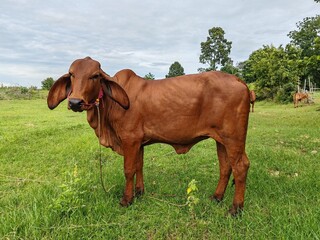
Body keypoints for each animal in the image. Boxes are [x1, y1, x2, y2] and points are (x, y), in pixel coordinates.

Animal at [47, 56, 251, 216]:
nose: (75, 102)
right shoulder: (139, 143)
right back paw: (217, 197)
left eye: (95, 76)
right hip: (221, 140)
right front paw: (139, 192)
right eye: (71, 74)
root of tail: (239, 80)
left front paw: (127, 199)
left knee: (240, 167)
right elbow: (139, 166)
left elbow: (129, 170)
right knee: (225, 167)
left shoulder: (130, 140)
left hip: (233, 139)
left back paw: (235, 209)